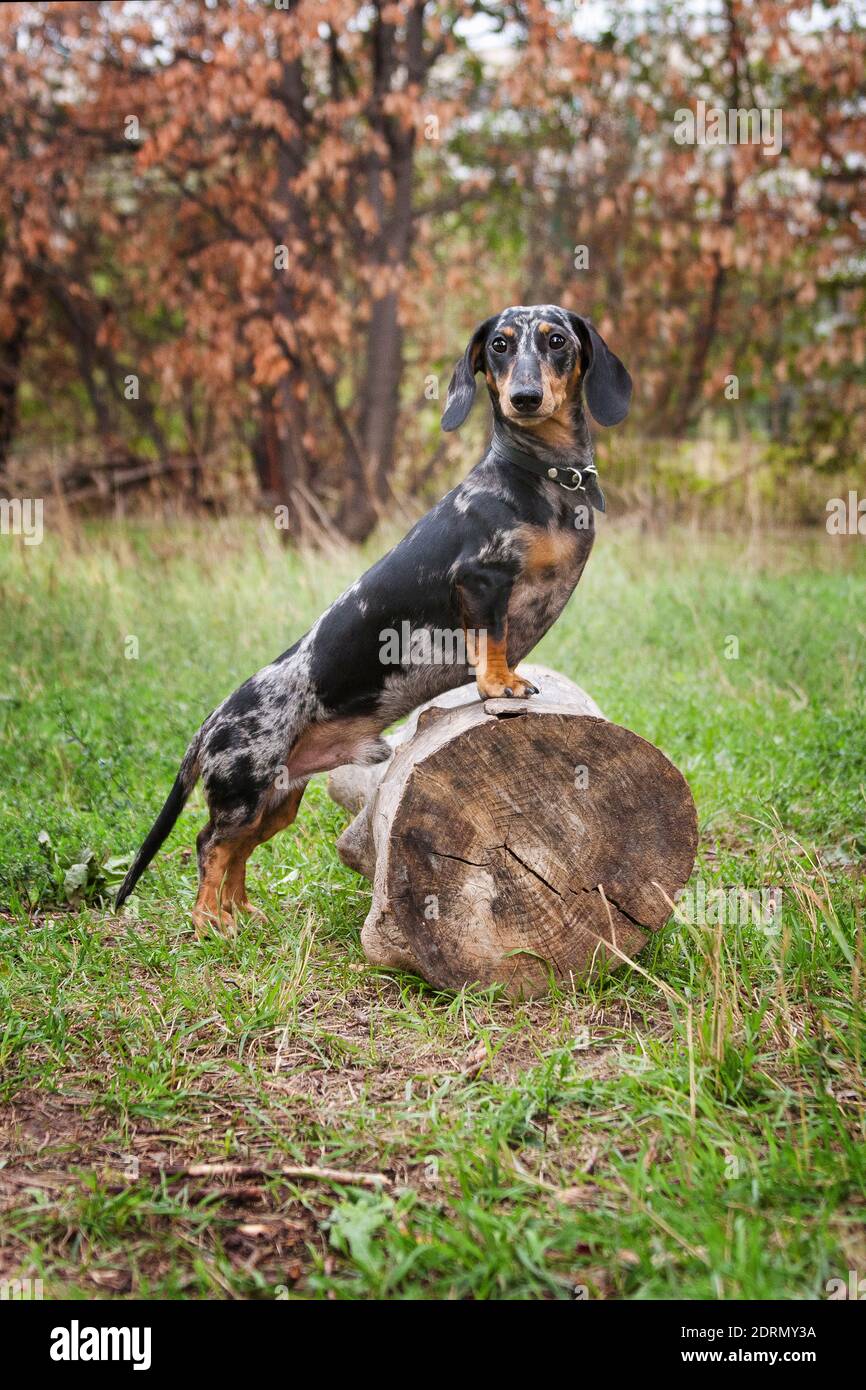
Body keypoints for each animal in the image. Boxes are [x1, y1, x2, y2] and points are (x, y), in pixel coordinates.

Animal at [116, 309, 631, 928]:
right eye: (500, 346)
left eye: (556, 340)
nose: (524, 398)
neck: (538, 477)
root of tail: (209, 723)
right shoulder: (482, 579)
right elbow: (492, 642)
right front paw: (500, 684)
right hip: (246, 791)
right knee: (209, 846)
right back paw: (210, 924)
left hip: (279, 800)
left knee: (236, 851)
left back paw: (242, 914)